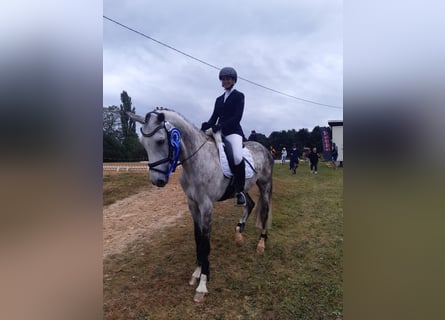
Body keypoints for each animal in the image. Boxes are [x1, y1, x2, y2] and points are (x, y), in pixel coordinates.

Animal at [128, 108, 272, 302]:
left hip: (265, 186)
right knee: (249, 203)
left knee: (264, 212)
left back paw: (261, 244)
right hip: (242, 189)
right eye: (143, 143)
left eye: (160, 141)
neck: (195, 161)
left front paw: (202, 284)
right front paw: (196, 273)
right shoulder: (193, 205)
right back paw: (239, 233)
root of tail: (263, 148)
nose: (157, 181)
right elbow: (197, 239)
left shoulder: (206, 206)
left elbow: (205, 242)